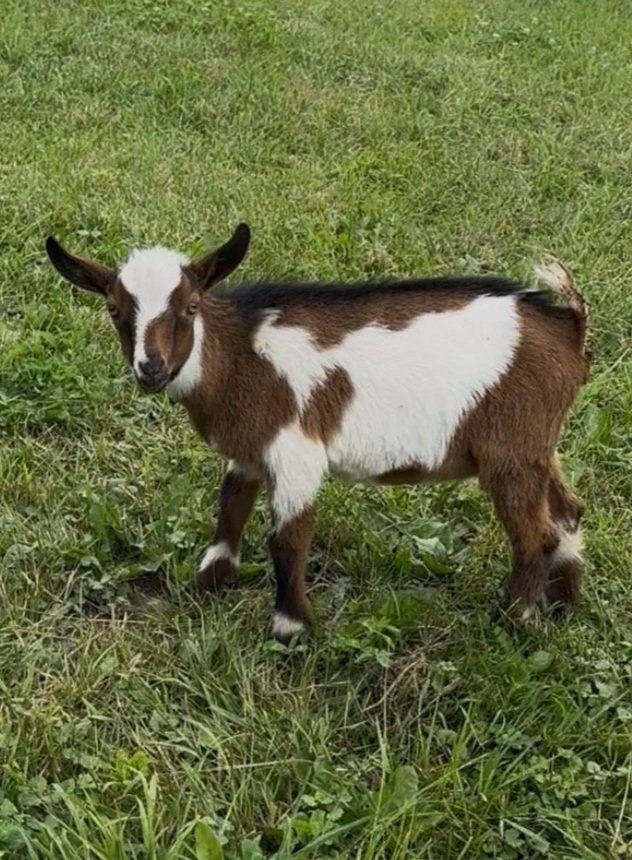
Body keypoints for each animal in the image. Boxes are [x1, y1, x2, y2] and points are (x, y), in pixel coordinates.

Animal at [45, 225, 589, 641]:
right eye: (115, 310)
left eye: (190, 307)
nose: (151, 369)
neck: (241, 355)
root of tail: (568, 328)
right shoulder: (248, 450)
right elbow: (230, 510)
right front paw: (208, 583)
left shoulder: (294, 450)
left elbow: (288, 537)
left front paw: (291, 629)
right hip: (538, 443)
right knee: (567, 512)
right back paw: (563, 604)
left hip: (510, 450)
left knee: (535, 532)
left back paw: (515, 619)